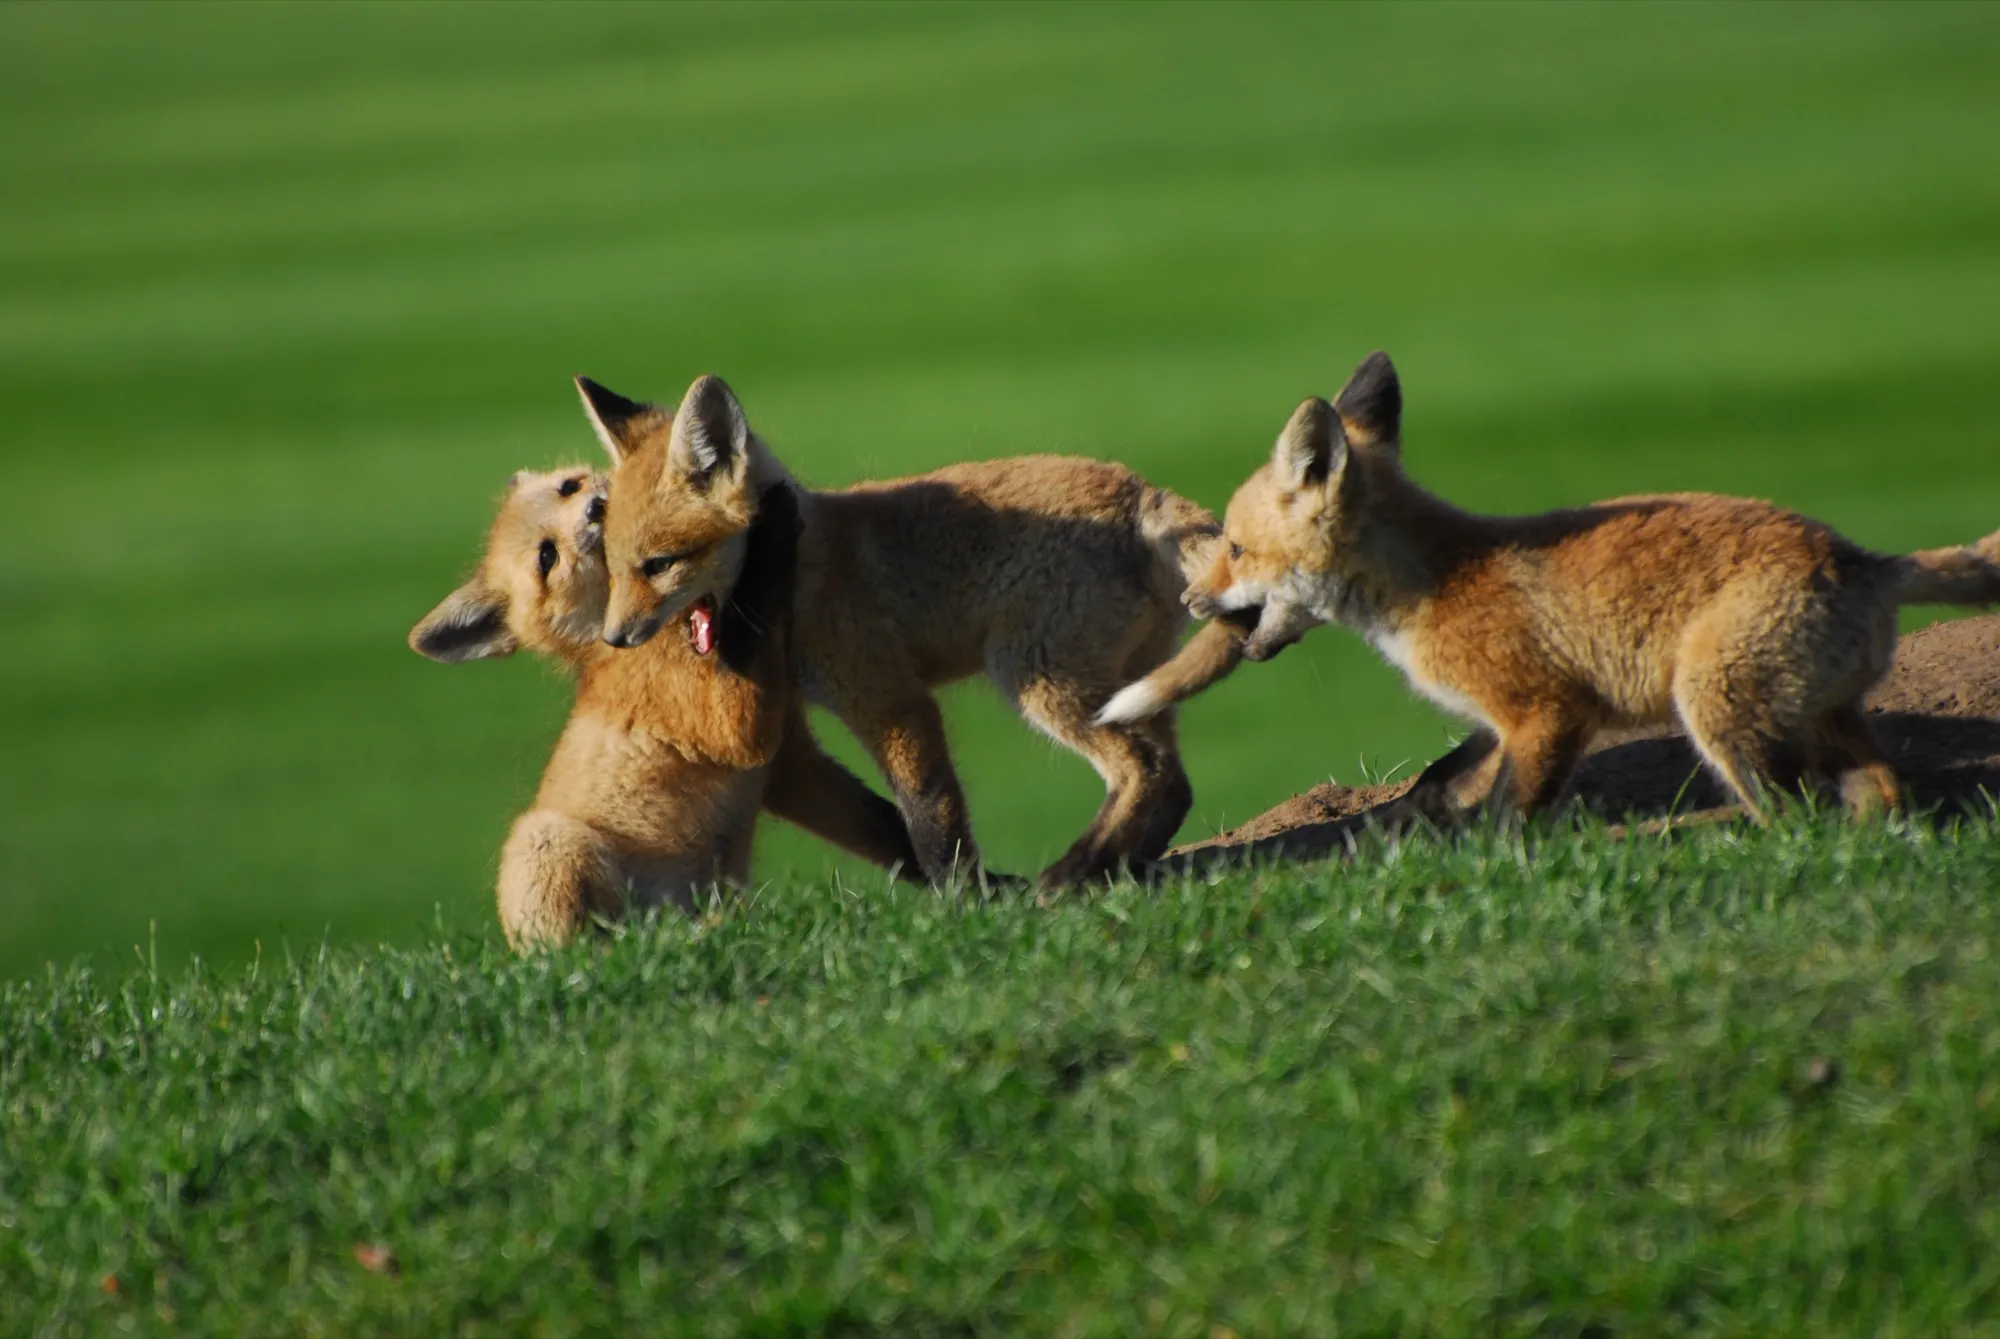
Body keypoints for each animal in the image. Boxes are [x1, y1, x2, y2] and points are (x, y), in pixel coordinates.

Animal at [409, 465, 919, 947]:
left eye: (569, 487)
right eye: (546, 556)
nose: (596, 507)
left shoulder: (789, 760)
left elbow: (885, 825)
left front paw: (935, 870)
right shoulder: (740, 731)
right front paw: (770, 532)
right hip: (545, 840)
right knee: (591, 946)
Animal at [574, 372, 1251, 888]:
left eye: (659, 565)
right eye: (613, 565)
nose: (614, 638)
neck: (806, 577)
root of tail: (1145, 492)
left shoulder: (893, 701)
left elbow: (929, 815)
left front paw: (962, 900)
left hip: (1039, 682)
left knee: (1144, 768)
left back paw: (1072, 875)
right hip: (1134, 681)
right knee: (1174, 782)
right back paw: (1118, 868)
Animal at [1108, 350, 2000, 823]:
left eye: (1233, 547)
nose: (1188, 603)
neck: (1428, 585)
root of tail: (1860, 557)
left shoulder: (1547, 711)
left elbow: (1506, 817)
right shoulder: (1501, 716)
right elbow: (1441, 779)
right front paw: (1405, 829)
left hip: (1717, 711)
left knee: (1797, 812)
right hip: (1818, 713)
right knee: (1881, 788)